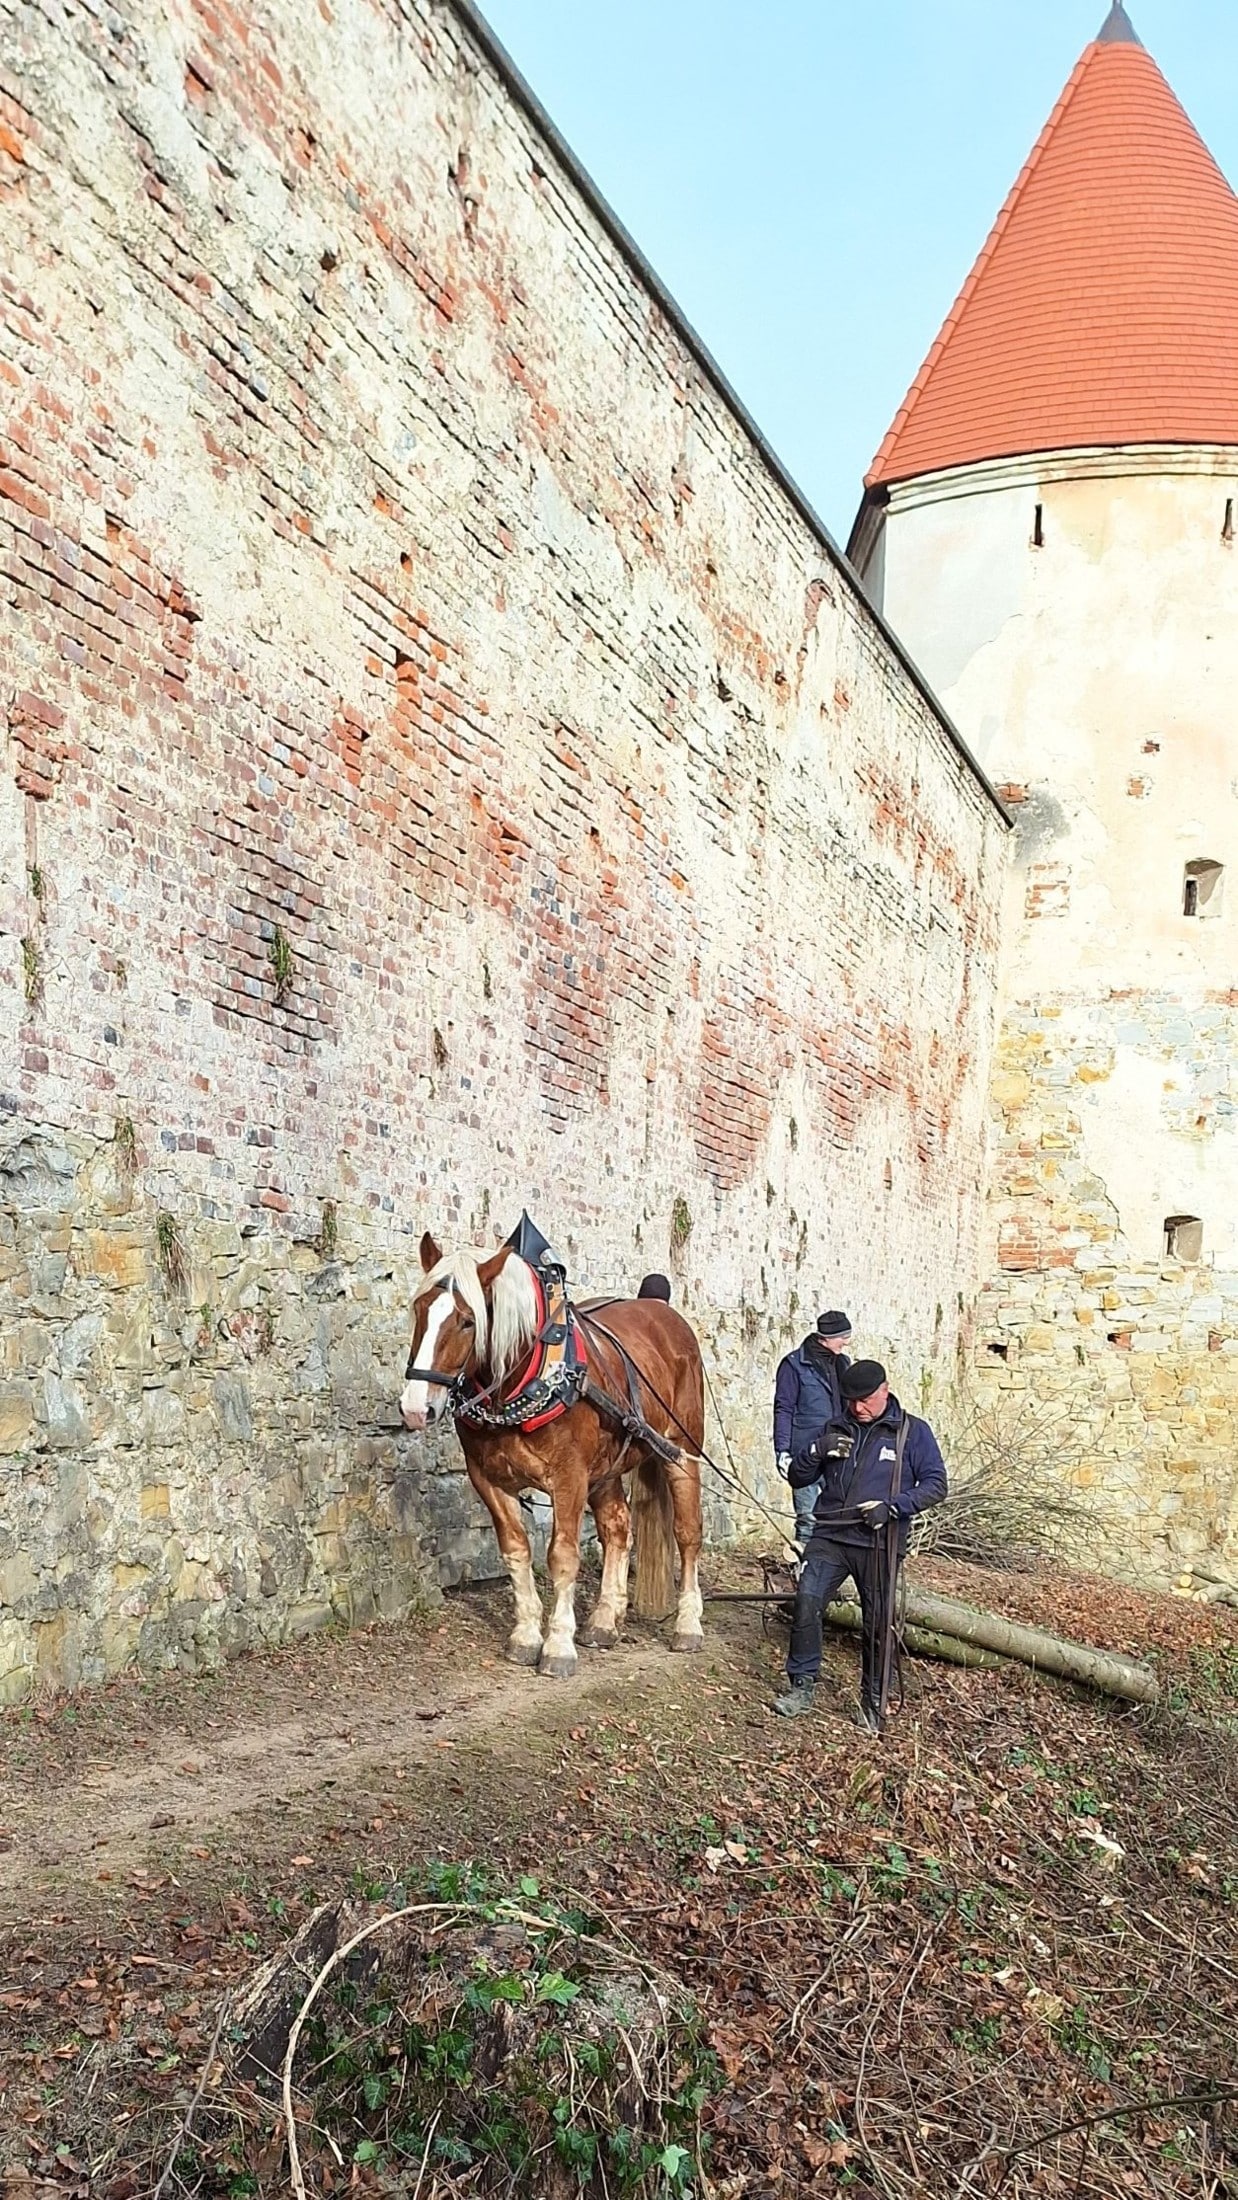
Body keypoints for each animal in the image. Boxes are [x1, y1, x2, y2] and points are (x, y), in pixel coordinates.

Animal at [400, 1232, 708, 1672]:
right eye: (419, 1309)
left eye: (467, 1321)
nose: (415, 1406)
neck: (526, 1379)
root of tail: (663, 1313)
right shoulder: (488, 1479)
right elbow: (516, 1551)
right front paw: (528, 1635)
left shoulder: (569, 1477)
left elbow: (562, 1556)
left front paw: (559, 1644)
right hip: (607, 1468)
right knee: (617, 1527)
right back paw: (604, 1620)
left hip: (681, 1450)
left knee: (687, 1533)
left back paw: (687, 1625)